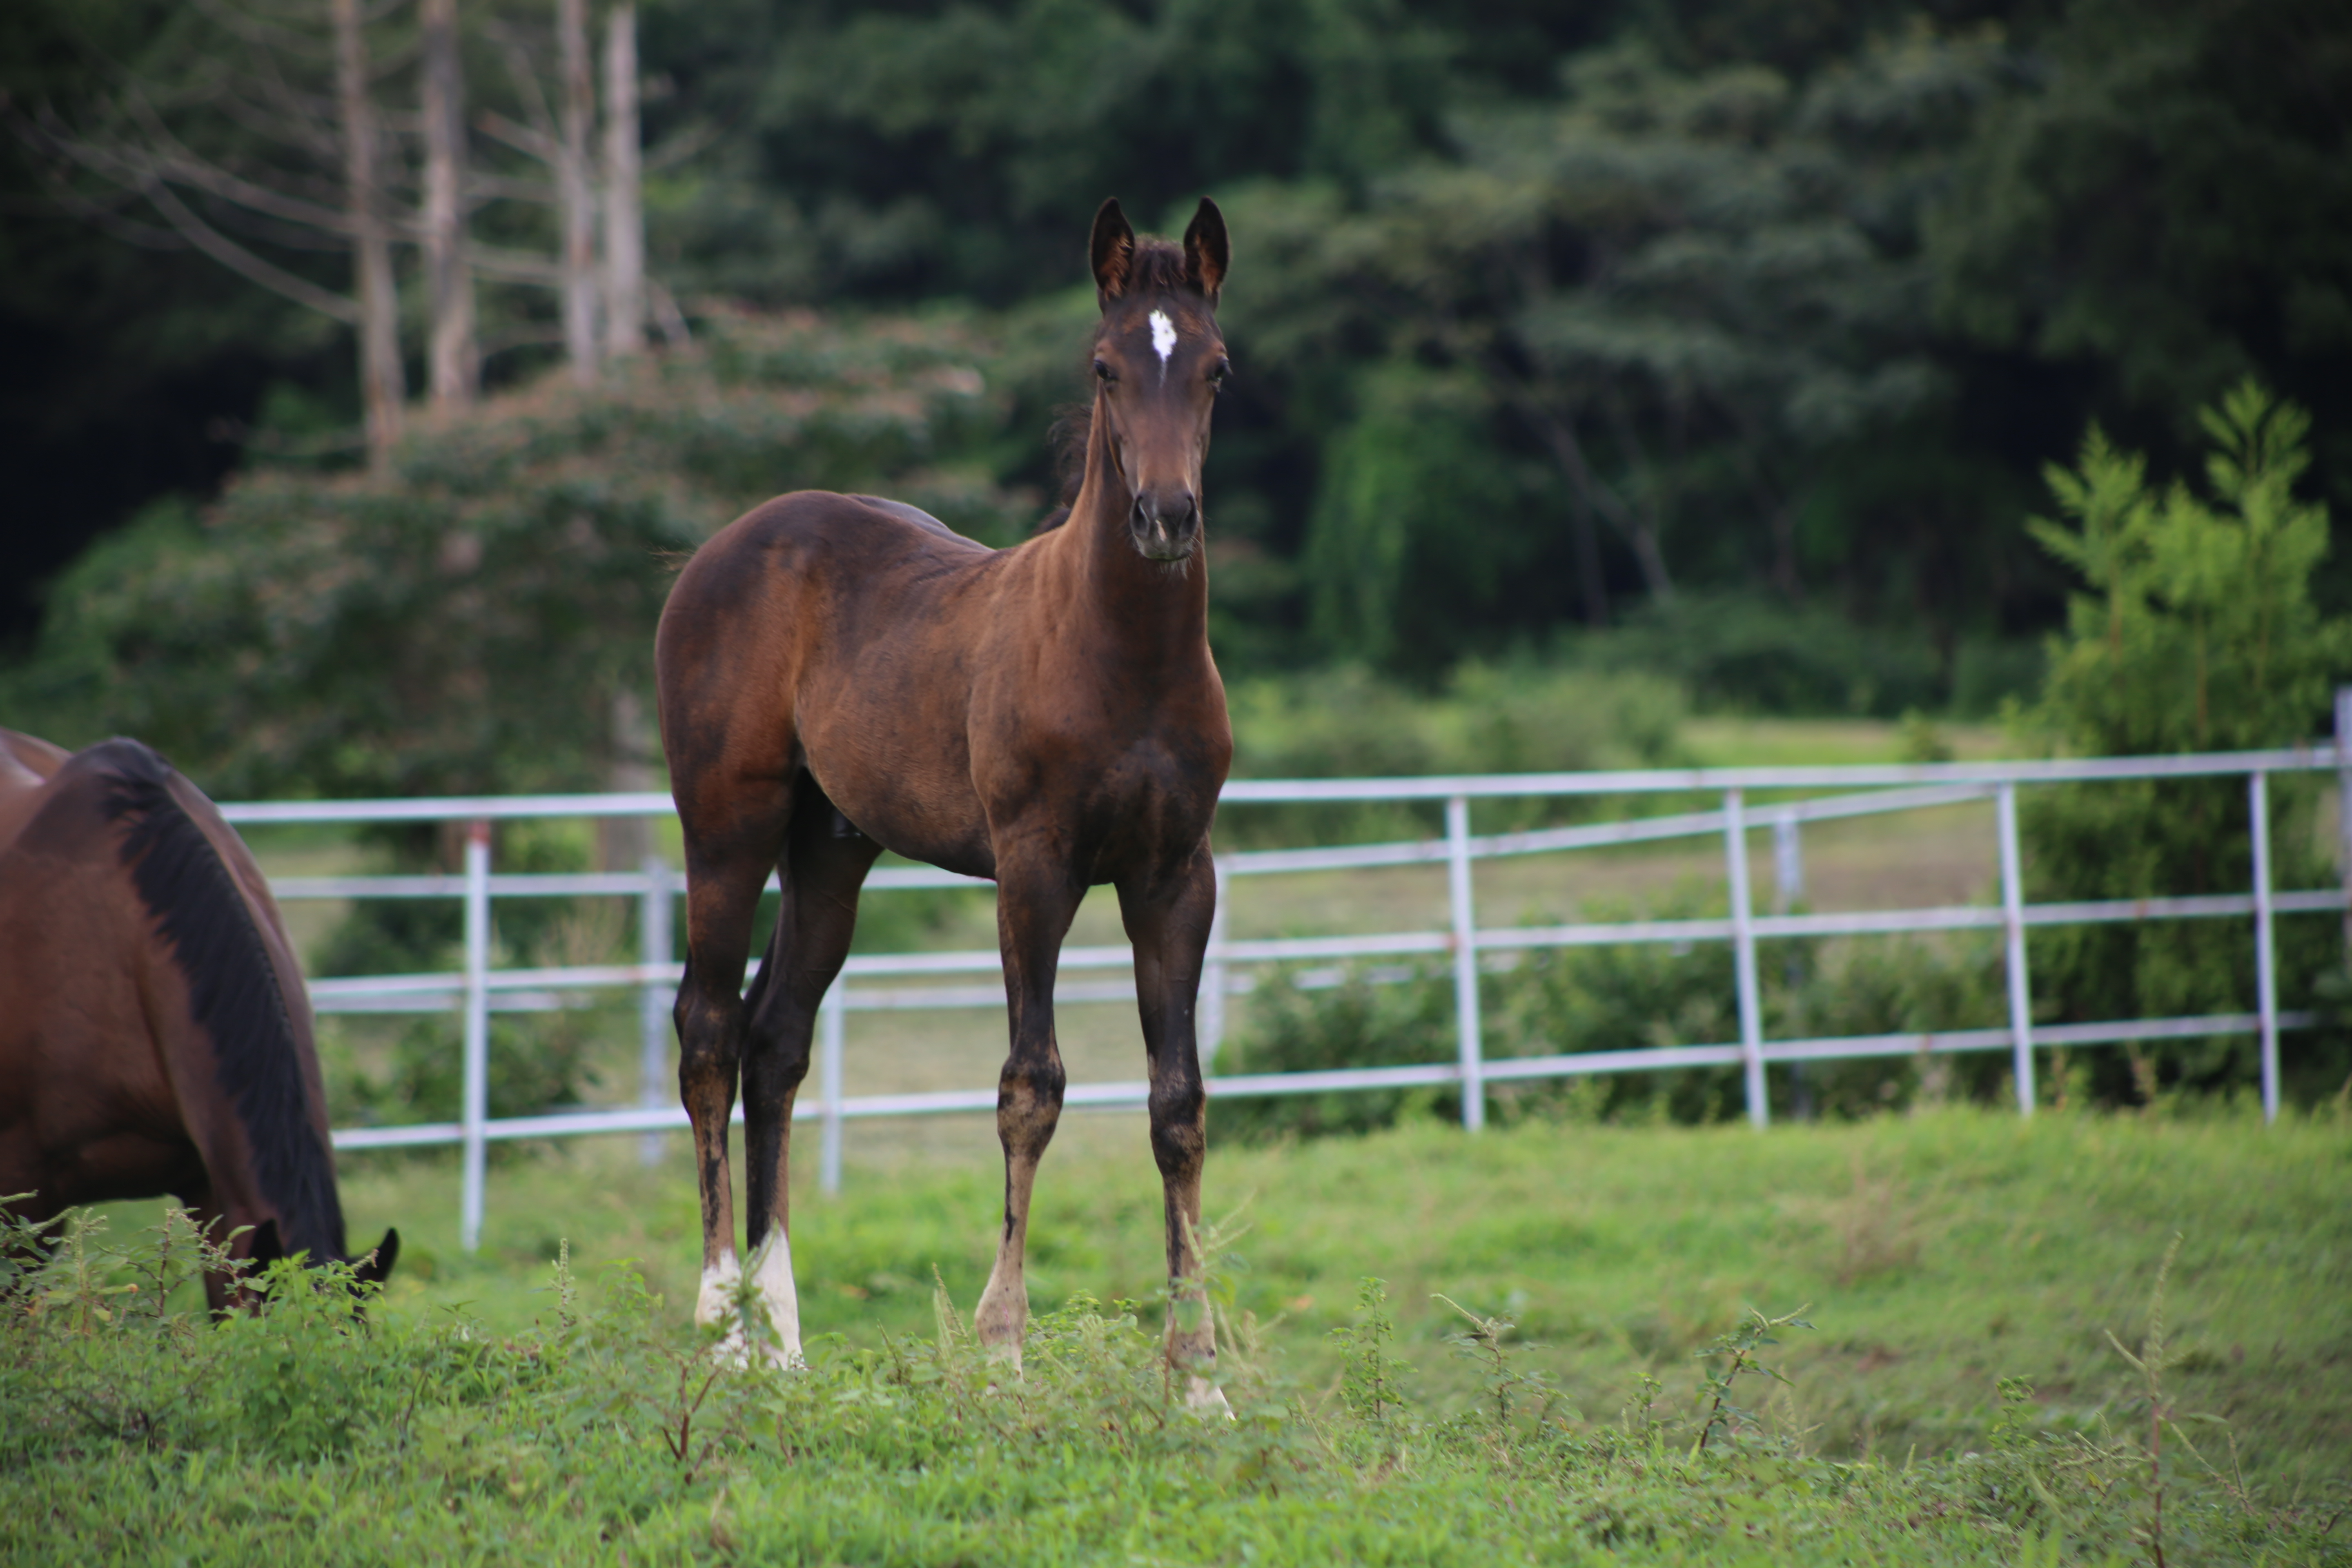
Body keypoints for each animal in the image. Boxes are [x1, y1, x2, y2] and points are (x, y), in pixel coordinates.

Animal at [644, 196, 1232, 1382]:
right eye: (1104, 366)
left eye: (1216, 369)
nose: (1165, 517)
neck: (1123, 656)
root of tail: (715, 551)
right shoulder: (1034, 869)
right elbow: (1030, 1086)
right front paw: (1001, 1346)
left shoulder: (1174, 878)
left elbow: (1177, 1104)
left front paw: (1198, 1378)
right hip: (726, 826)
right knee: (710, 1031)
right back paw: (720, 1321)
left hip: (830, 850)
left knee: (777, 1039)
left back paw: (782, 1340)